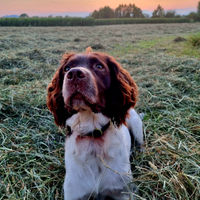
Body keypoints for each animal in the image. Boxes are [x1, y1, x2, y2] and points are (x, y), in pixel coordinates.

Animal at [47, 48, 144, 200]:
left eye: (99, 66)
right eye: (67, 68)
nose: (74, 74)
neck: (92, 136)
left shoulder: (123, 192)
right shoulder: (74, 194)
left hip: (135, 124)